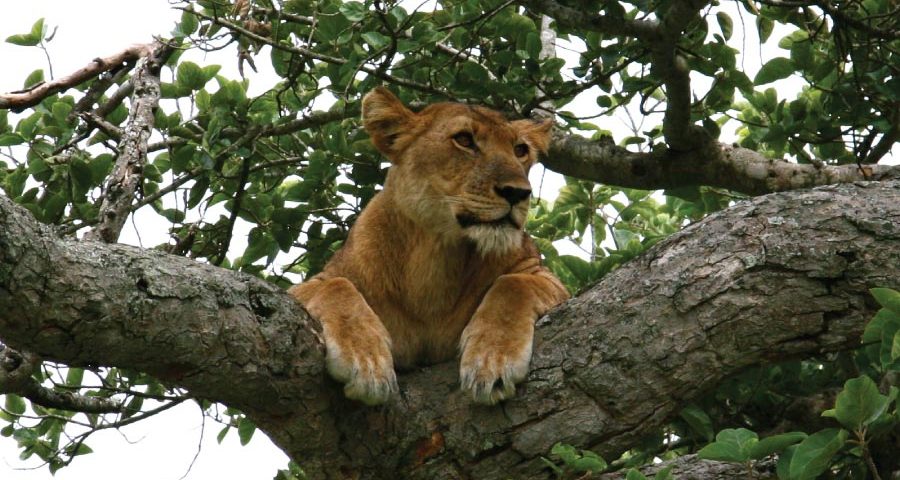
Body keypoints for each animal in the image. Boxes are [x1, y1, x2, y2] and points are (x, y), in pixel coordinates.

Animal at [289, 87, 570, 405]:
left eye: (520, 150)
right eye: (464, 139)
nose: (518, 193)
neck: (435, 253)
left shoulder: (542, 276)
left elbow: (513, 284)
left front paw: (491, 361)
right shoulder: (314, 283)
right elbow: (336, 286)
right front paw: (365, 361)